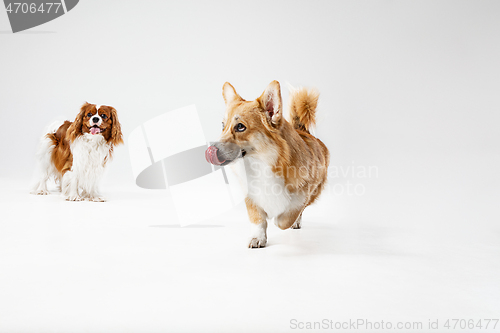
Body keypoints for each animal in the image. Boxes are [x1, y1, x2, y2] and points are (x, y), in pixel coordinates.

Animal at [205, 80, 330, 246]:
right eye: (222, 125)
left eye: (240, 127)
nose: (210, 150)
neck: (261, 163)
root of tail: (303, 131)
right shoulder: (251, 196)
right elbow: (258, 220)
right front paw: (258, 238)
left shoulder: (304, 193)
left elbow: (286, 217)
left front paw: (279, 219)